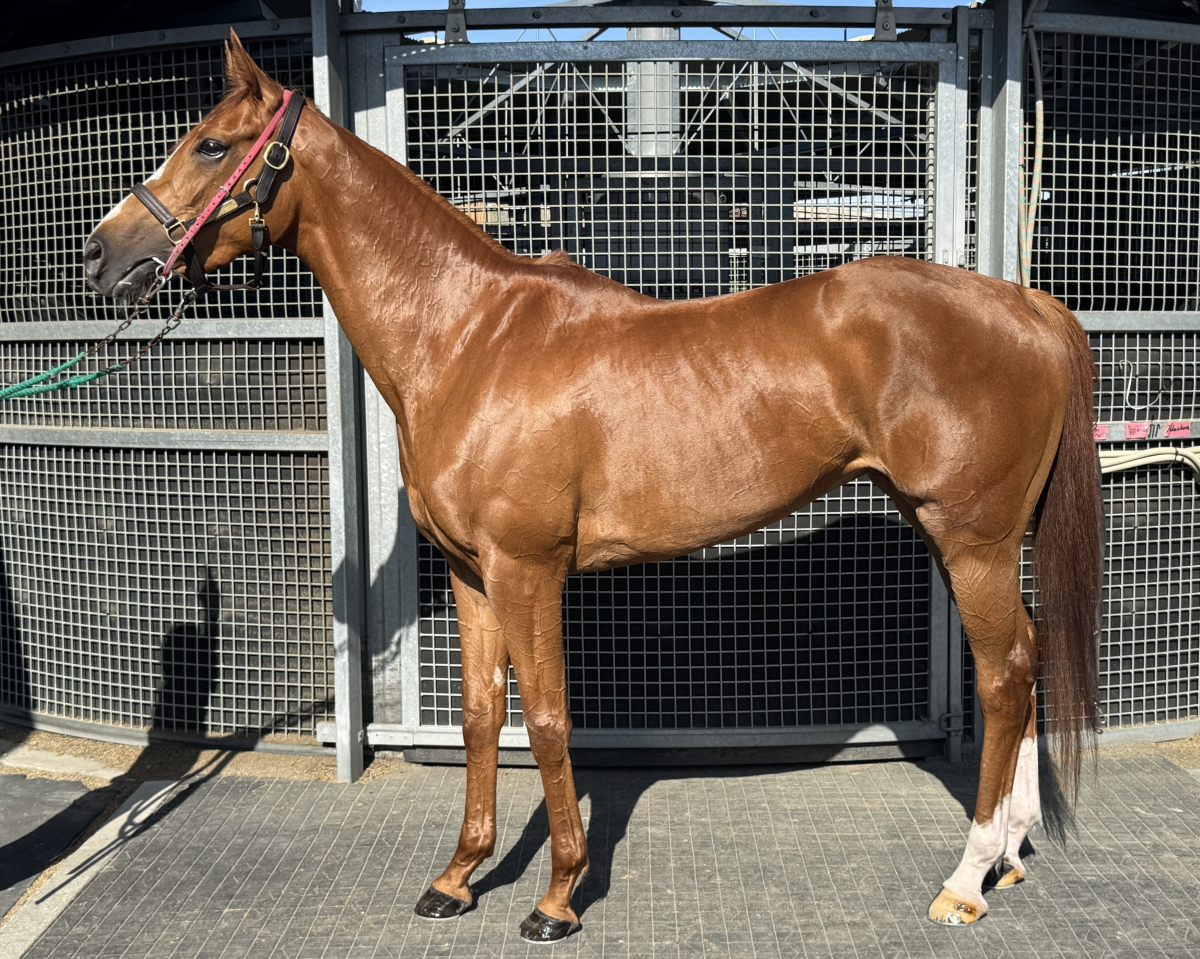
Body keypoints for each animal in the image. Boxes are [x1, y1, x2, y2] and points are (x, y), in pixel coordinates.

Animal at [83, 33, 1102, 940]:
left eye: (212, 145)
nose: (100, 255)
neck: (468, 337)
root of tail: (1029, 305)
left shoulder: (528, 568)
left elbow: (546, 719)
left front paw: (557, 895)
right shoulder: (471, 572)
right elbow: (482, 717)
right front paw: (458, 877)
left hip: (970, 539)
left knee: (1005, 674)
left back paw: (967, 878)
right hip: (956, 533)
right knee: (1028, 660)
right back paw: (1011, 853)